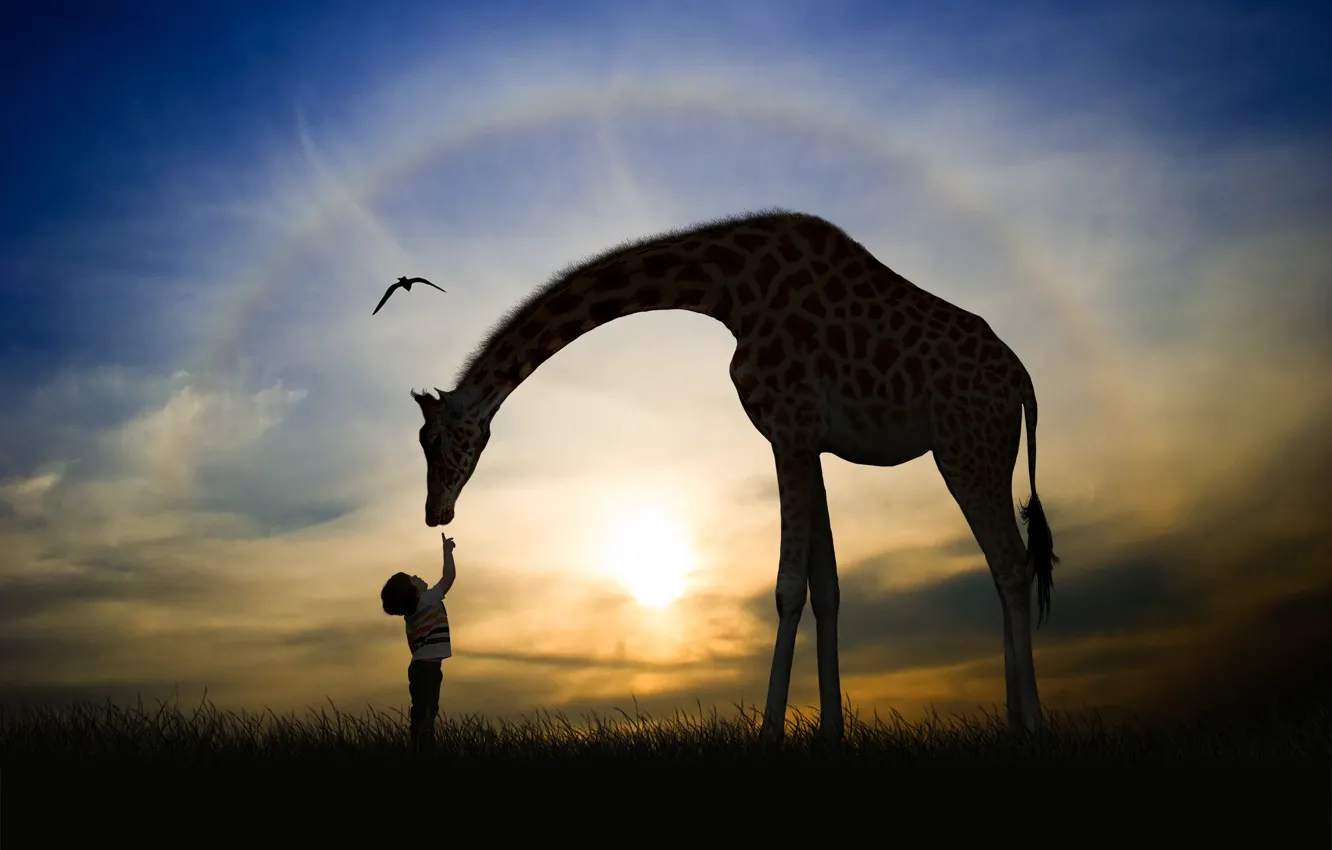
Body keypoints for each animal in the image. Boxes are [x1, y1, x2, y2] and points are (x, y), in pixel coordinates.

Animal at [411, 209, 1059, 744]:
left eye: (433, 440)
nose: (435, 512)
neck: (727, 289)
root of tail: (1025, 381)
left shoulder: (790, 426)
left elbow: (788, 585)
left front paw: (770, 735)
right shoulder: (807, 440)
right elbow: (827, 587)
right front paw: (830, 734)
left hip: (965, 444)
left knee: (1010, 563)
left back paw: (1030, 727)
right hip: (982, 449)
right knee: (1005, 565)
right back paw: (1010, 723)